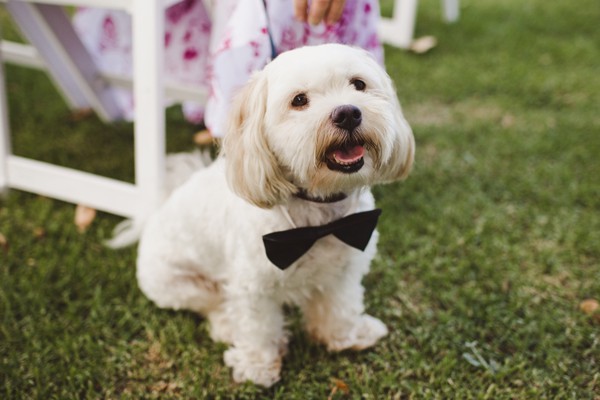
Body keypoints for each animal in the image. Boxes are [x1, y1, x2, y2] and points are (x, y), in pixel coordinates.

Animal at [137, 43, 412, 384]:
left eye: (359, 84)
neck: (318, 212)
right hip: (179, 286)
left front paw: (345, 336)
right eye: (299, 100)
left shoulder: (345, 266)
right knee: (214, 304)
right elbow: (258, 326)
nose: (348, 113)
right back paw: (226, 325)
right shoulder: (252, 286)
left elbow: (340, 305)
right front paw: (257, 365)